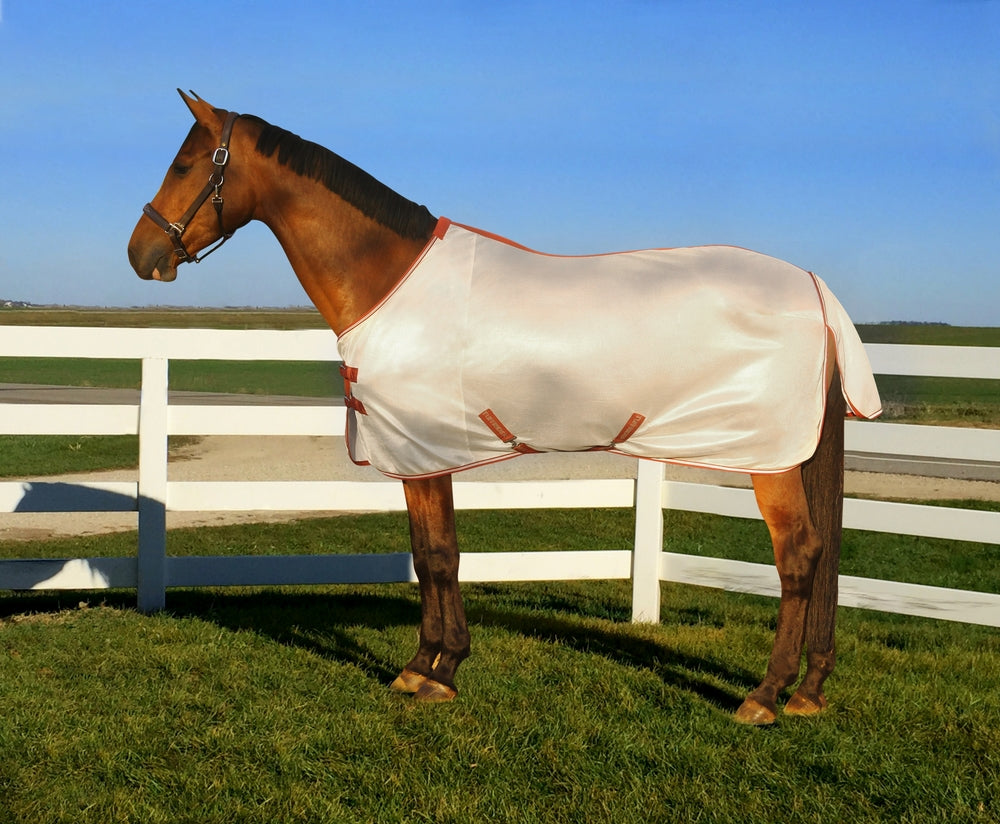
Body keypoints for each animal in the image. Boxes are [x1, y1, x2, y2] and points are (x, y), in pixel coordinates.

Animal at [128, 91, 881, 726]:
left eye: (186, 163)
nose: (142, 253)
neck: (387, 279)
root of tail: (812, 287)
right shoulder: (420, 458)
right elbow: (430, 552)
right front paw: (423, 665)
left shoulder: (423, 450)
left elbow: (438, 556)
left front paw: (439, 673)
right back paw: (808, 689)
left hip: (768, 458)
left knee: (798, 558)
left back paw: (764, 695)